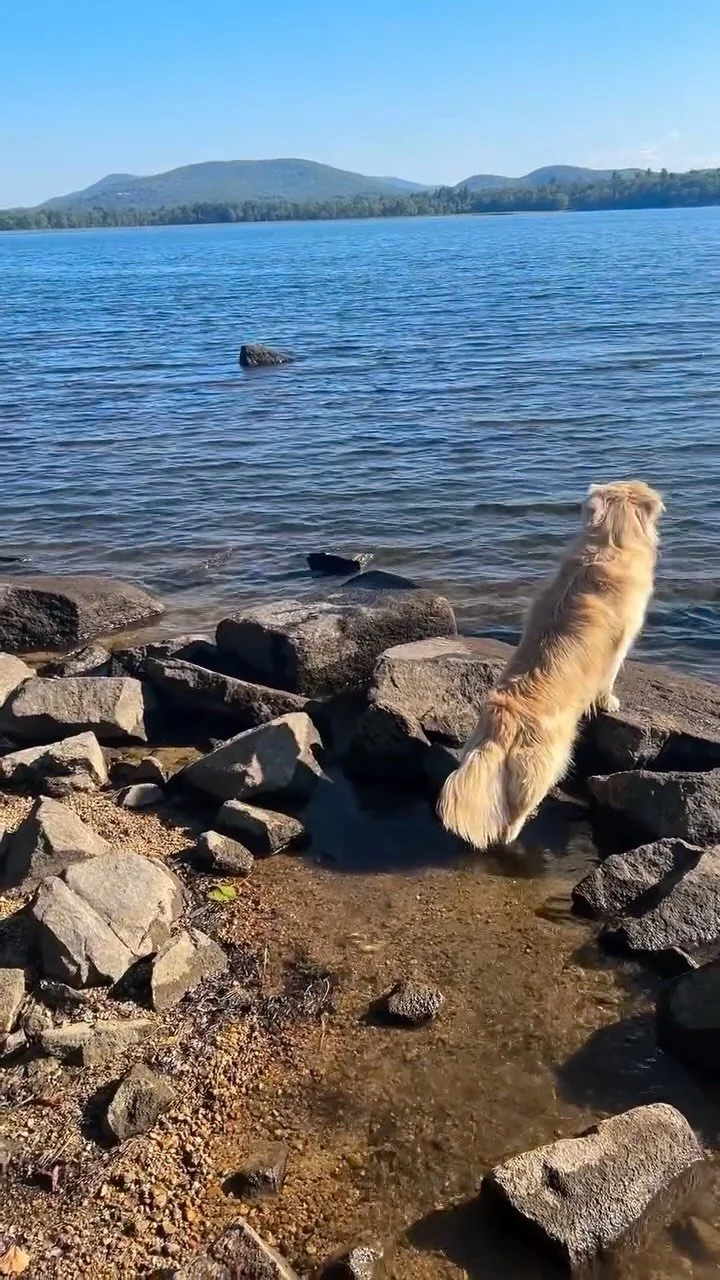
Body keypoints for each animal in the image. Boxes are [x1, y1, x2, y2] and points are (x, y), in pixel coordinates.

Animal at [437, 480, 664, 850]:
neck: (609, 543)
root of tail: (506, 719)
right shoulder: (621, 642)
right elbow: (609, 678)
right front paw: (610, 702)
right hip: (551, 762)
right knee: (513, 817)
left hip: (478, 749)